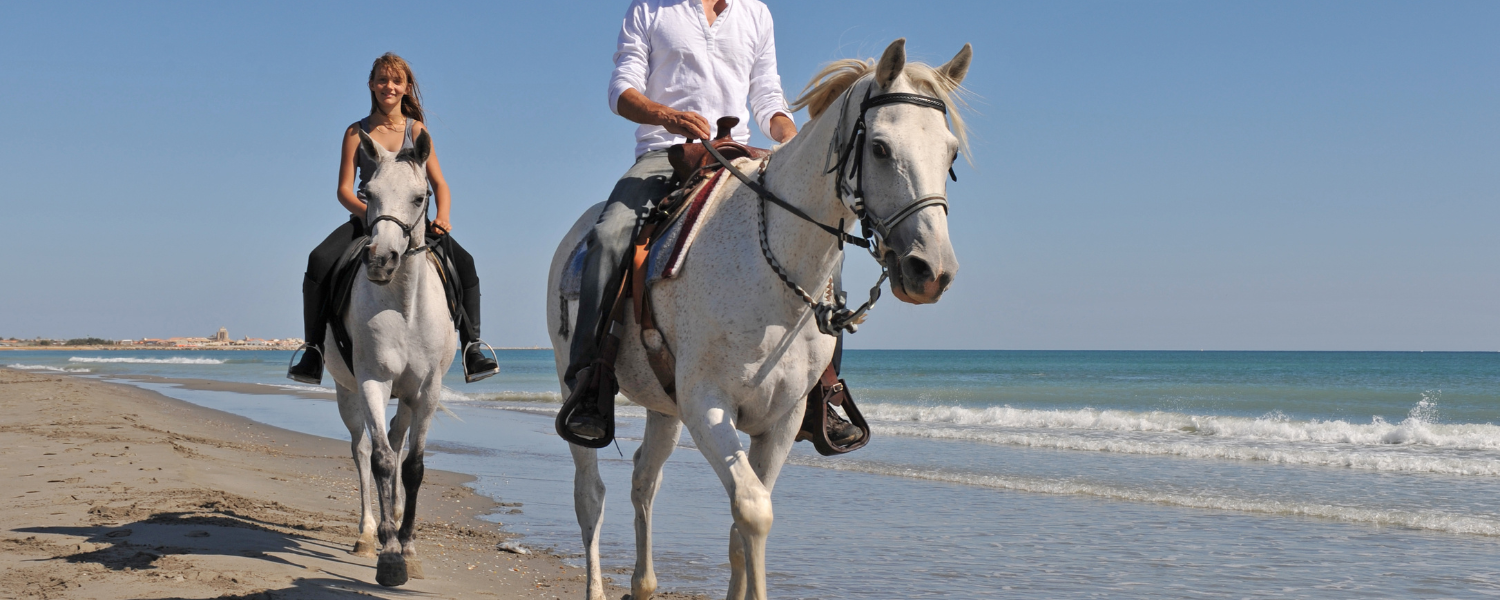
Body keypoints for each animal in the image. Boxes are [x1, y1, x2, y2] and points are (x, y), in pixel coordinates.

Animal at [322, 127, 450, 585]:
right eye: (367, 193)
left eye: (420, 196)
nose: (380, 259)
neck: (404, 306)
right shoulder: (371, 382)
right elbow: (378, 461)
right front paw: (391, 556)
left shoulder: (427, 391)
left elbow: (411, 466)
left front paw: (408, 545)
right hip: (347, 393)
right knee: (362, 451)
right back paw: (367, 533)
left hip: (408, 397)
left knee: (397, 443)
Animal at [546, 38, 966, 600]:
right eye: (879, 147)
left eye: (951, 152)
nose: (931, 271)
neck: (769, 266)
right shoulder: (708, 405)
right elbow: (753, 511)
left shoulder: (781, 418)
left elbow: (738, 530)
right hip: (576, 386)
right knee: (590, 494)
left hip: (664, 408)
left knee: (644, 480)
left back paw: (645, 582)